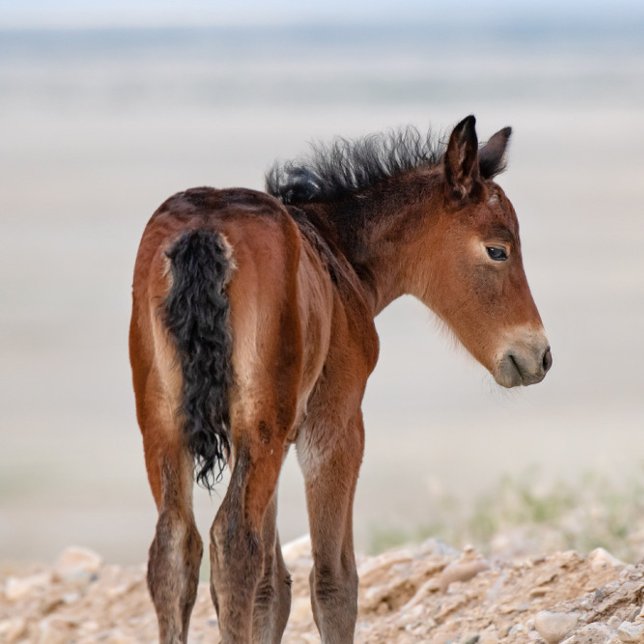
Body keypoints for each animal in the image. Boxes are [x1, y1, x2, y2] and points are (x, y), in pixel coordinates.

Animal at [129, 115, 552, 643]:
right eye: (498, 250)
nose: (538, 355)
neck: (337, 252)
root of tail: (204, 232)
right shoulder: (335, 428)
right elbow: (335, 580)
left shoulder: (280, 437)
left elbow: (273, 588)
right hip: (259, 429)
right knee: (233, 541)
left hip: (168, 425)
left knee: (175, 549)